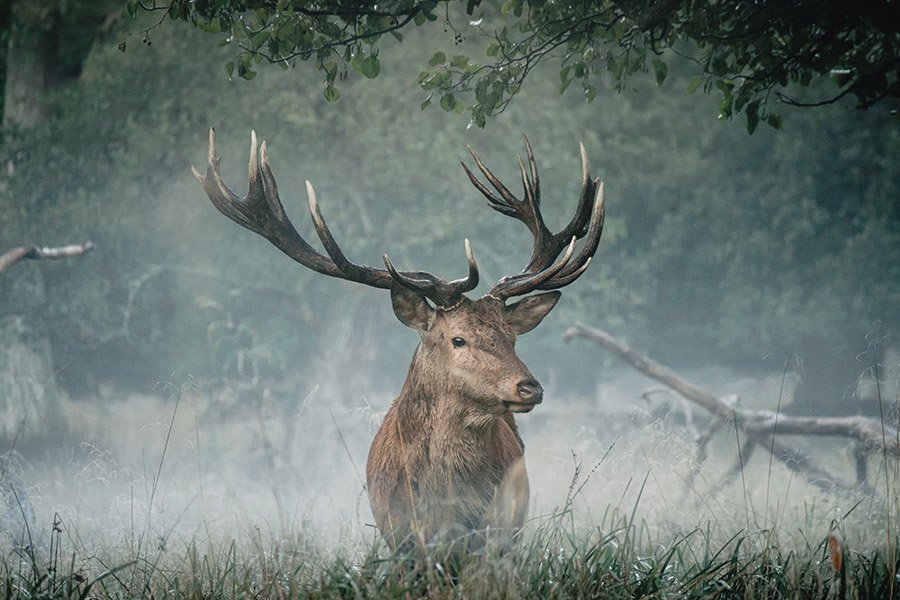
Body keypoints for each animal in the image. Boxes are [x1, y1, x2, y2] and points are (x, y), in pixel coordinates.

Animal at [192, 129, 605, 553]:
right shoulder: (401, 538)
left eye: (512, 338)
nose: (529, 387)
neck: (448, 509)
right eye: (458, 339)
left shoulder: (499, 537)